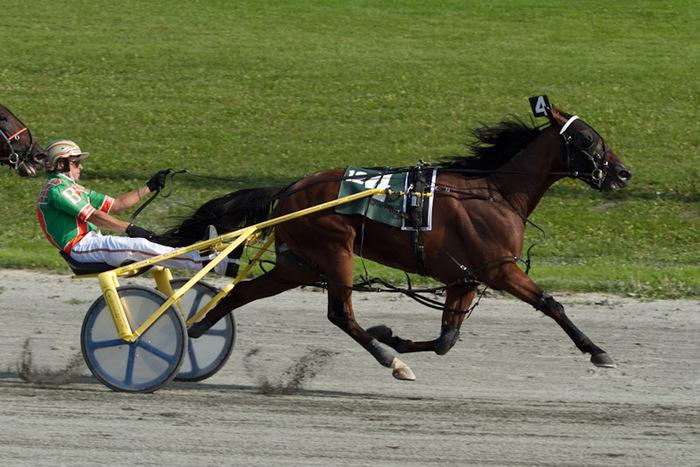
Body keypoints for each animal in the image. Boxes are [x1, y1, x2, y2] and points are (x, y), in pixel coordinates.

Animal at [158, 104, 632, 380]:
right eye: (587, 138)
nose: (623, 173)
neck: (495, 194)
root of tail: (290, 189)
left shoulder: (465, 277)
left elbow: (446, 339)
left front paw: (395, 336)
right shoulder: (500, 269)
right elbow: (551, 304)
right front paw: (597, 351)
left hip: (299, 264)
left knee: (244, 294)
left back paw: (196, 328)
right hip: (335, 252)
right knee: (340, 314)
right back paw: (391, 361)